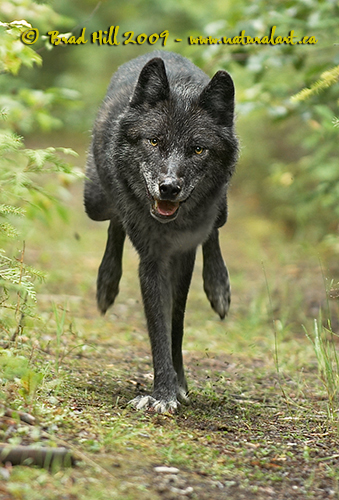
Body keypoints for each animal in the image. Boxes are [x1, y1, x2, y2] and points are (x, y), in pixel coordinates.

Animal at [84, 50, 239, 412]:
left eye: (198, 149)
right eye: (154, 141)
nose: (168, 188)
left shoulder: (182, 255)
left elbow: (175, 322)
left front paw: (176, 384)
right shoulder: (152, 260)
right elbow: (158, 325)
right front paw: (164, 392)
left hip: (222, 209)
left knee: (214, 230)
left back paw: (218, 287)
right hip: (94, 203)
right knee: (115, 220)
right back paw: (106, 284)